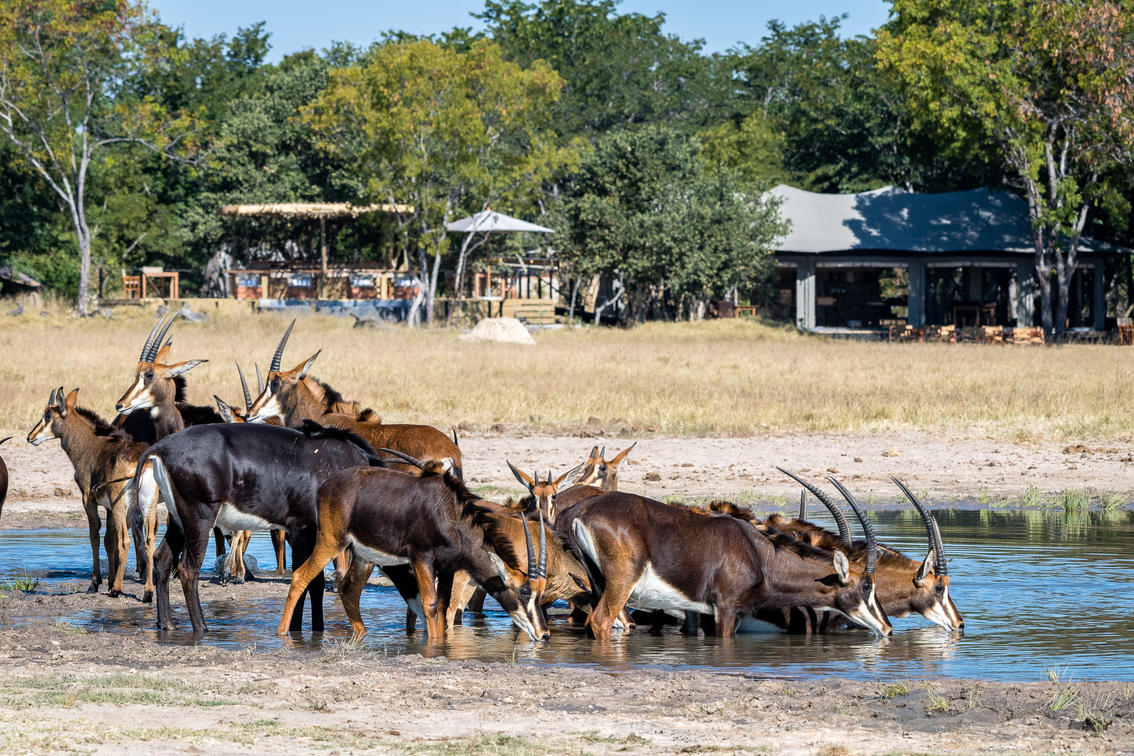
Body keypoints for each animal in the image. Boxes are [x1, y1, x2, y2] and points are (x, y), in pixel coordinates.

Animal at [27, 389, 147, 598]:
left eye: (48, 415)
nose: (30, 437)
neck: (90, 445)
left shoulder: (88, 499)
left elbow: (95, 537)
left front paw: (95, 583)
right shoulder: (108, 507)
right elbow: (109, 540)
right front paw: (109, 580)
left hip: (122, 505)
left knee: (125, 540)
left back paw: (117, 589)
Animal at [130, 423, 383, 634]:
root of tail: (159, 449)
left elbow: (311, 581)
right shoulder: (303, 529)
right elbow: (308, 580)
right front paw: (301, 630)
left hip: (177, 518)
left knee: (163, 559)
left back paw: (167, 624)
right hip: (199, 514)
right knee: (187, 569)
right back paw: (201, 627)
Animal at [278, 448, 553, 643]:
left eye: (541, 592)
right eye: (524, 592)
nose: (544, 634)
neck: (450, 515)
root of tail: (326, 486)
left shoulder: (447, 567)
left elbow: (442, 606)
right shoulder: (422, 558)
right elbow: (430, 605)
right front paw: (433, 646)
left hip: (364, 555)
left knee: (349, 589)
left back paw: (362, 634)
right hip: (331, 541)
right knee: (300, 576)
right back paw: (282, 634)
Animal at [567, 491, 893, 639]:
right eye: (866, 586)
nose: (888, 629)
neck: (758, 554)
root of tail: (580, 512)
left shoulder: (696, 610)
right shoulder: (726, 608)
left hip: (599, 582)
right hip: (622, 582)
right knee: (601, 620)